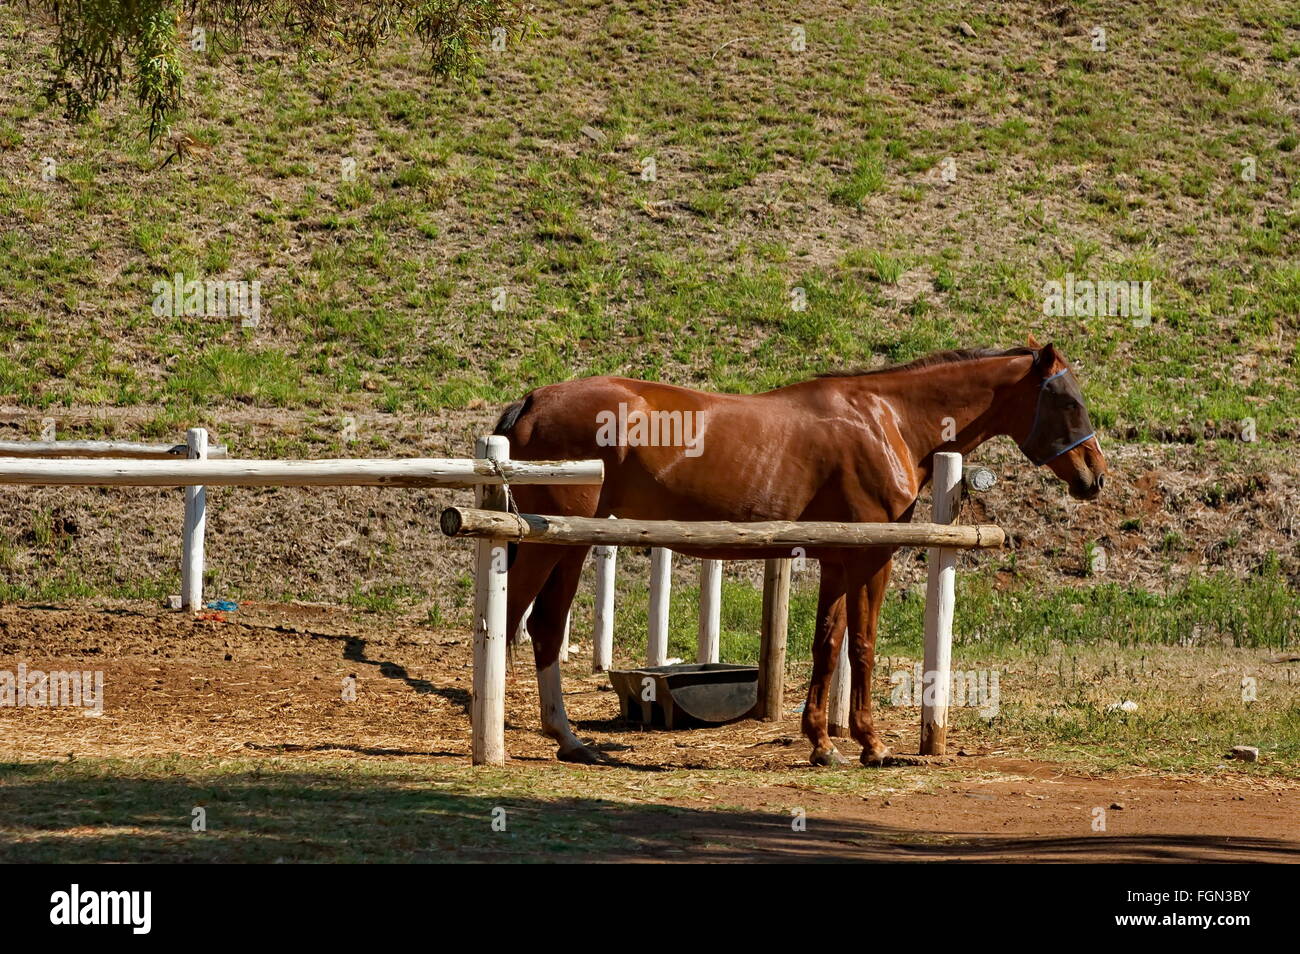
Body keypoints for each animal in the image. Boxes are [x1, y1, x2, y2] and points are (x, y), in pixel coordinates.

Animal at [491, 343, 1102, 769]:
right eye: (1068, 400)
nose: (1094, 476)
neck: (889, 420)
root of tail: (534, 400)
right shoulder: (870, 560)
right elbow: (862, 645)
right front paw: (871, 744)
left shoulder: (837, 560)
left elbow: (828, 645)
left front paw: (823, 743)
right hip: (549, 545)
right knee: (513, 616)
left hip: (568, 547)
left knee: (544, 628)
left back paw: (570, 740)